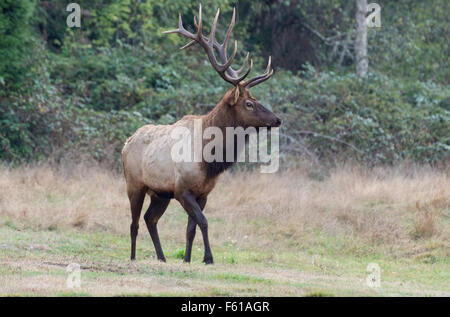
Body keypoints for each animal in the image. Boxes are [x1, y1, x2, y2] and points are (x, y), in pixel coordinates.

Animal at [121, 4, 280, 262]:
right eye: (249, 103)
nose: (277, 119)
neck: (210, 159)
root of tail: (126, 143)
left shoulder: (203, 193)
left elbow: (191, 229)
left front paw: (187, 259)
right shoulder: (182, 189)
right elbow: (204, 222)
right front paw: (208, 258)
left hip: (159, 193)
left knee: (150, 219)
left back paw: (162, 257)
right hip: (134, 184)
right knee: (134, 222)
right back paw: (134, 257)